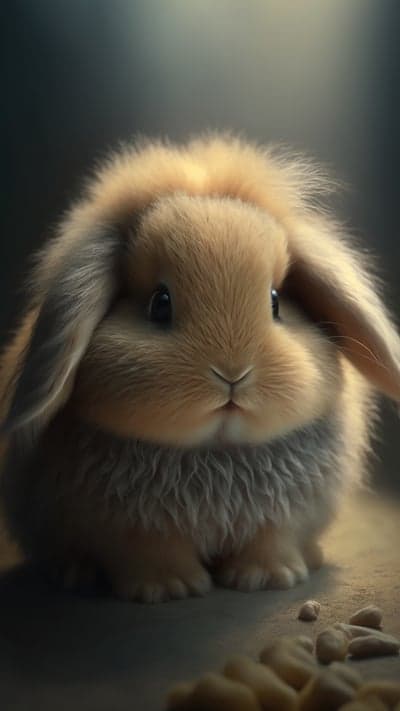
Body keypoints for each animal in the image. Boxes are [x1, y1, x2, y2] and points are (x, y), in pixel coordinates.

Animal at [0, 134, 399, 603]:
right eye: (159, 304)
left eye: (276, 301)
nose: (233, 374)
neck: (216, 454)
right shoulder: (132, 527)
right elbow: (151, 553)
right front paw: (169, 589)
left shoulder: (281, 520)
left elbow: (270, 542)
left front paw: (268, 579)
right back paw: (74, 573)